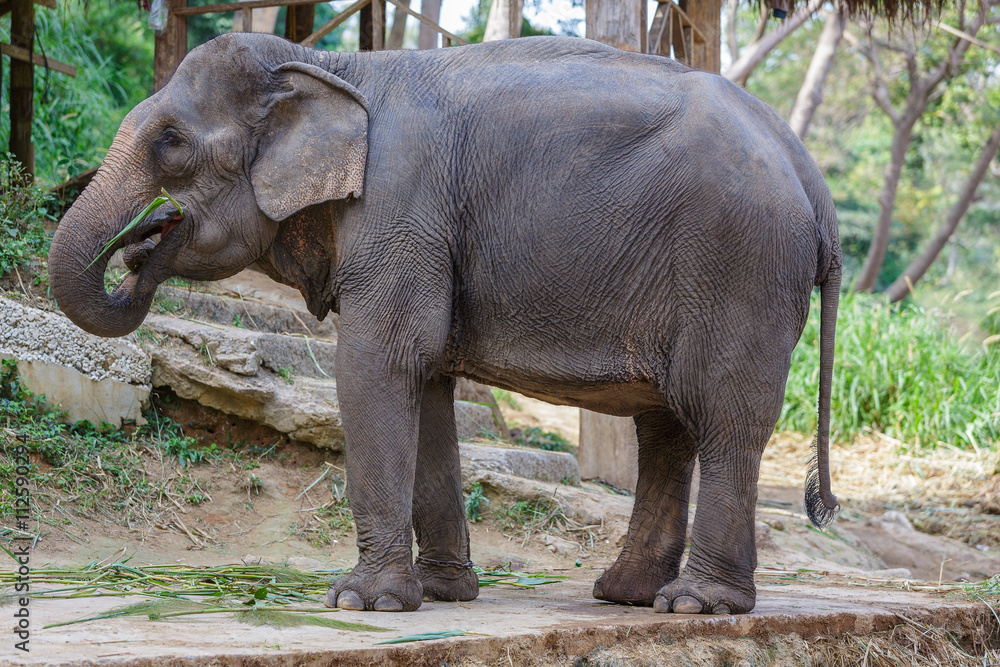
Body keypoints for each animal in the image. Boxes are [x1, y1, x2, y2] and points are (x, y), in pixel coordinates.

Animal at [48, 33, 842, 615]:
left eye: (172, 142)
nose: (134, 248)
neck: (328, 65)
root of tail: (809, 171)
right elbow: (425, 382)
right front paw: (440, 594)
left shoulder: (400, 209)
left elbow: (378, 364)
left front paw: (361, 602)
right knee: (667, 425)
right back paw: (627, 595)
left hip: (738, 263)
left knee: (723, 417)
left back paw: (695, 605)